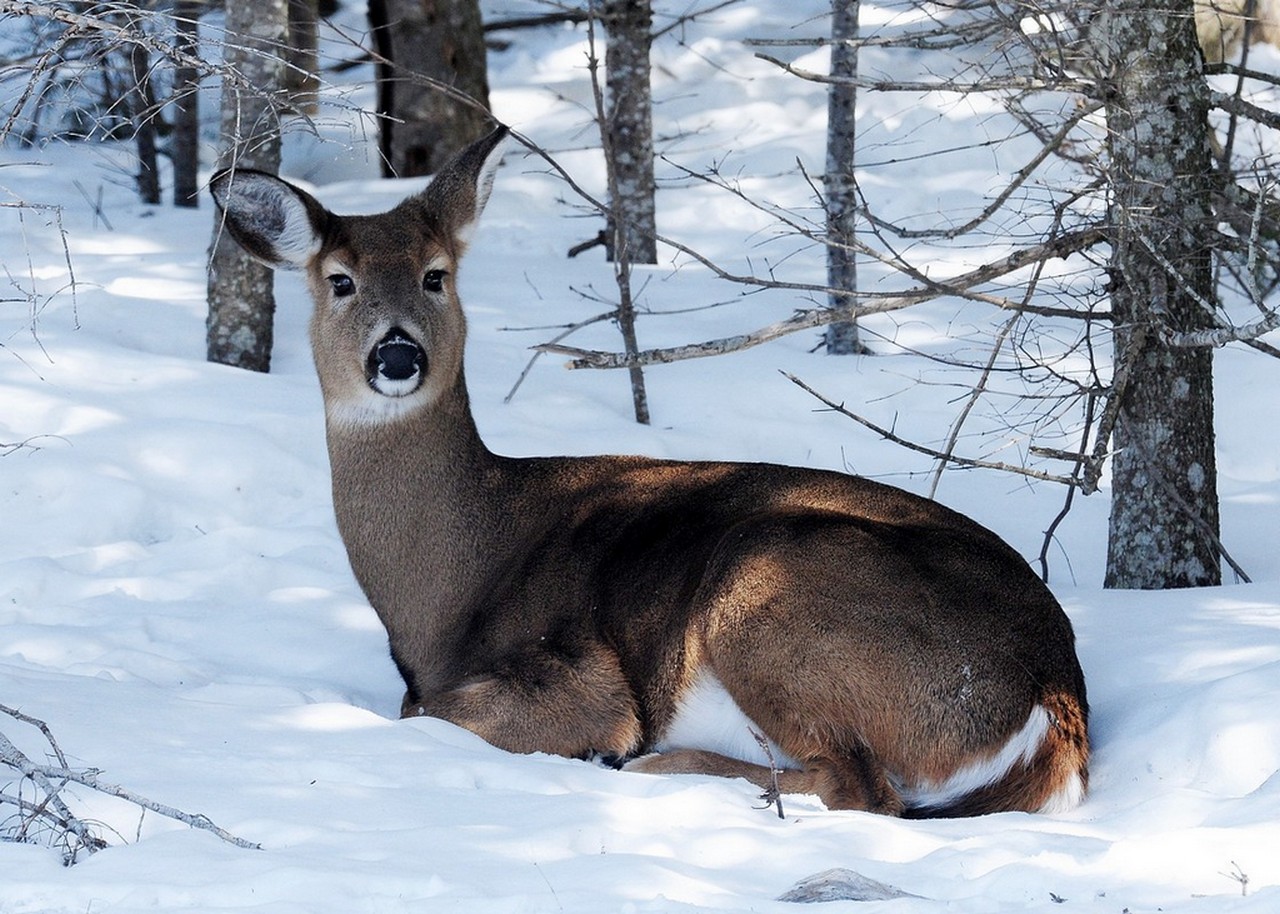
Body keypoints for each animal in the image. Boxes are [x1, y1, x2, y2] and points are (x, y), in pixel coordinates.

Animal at [209, 124, 1090, 814]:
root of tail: (1055, 693)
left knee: (861, 788)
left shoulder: (579, 678)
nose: (398, 355)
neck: (450, 584)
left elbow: (429, 717)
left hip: (766, 589)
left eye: (436, 274)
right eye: (339, 281)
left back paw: (656, 766)